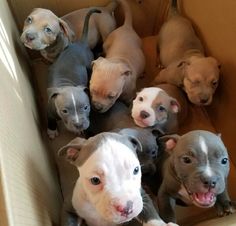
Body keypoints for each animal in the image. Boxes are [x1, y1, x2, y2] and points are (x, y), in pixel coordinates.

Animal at [47, 8, 100, 139]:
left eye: (86, 107)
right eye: (64, 111)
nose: (79, 125)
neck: (65, 85)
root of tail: (81, 43)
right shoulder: (49, 107)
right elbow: (50, 118)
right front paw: (51, 130)